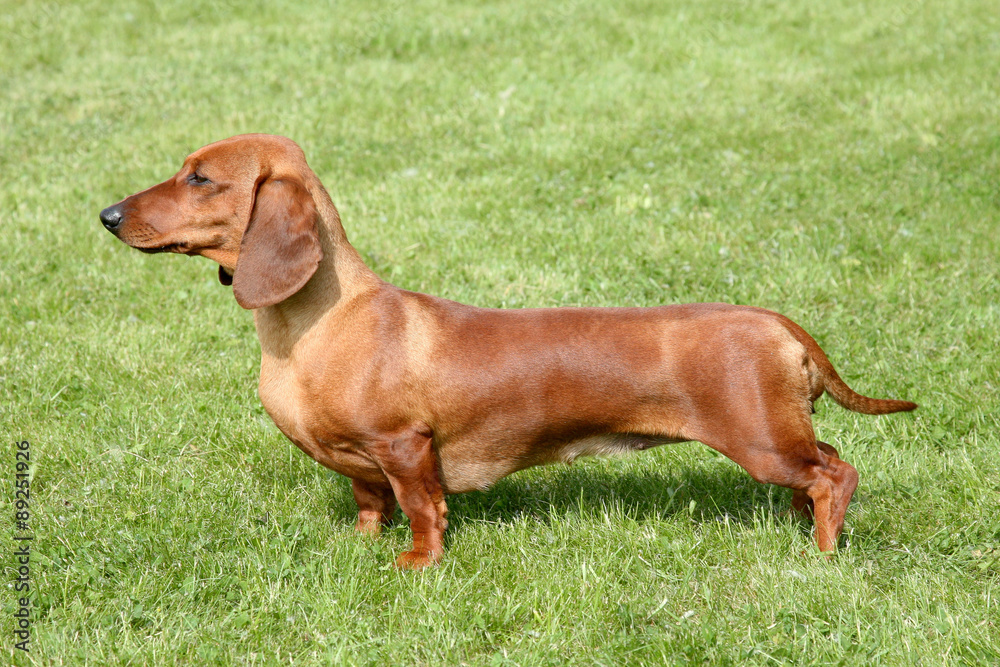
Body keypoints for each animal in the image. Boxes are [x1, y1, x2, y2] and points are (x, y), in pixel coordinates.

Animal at [101, 136, 916, 568]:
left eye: (200, 176)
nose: (106, 214)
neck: (319, 324)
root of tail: (777, 321)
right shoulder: (363, 465)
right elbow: (370, 503)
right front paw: (364, 546)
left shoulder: (405, 447)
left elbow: (422, 509)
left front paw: (415, 564)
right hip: (778, 434)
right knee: (821, 469)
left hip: (759, 438)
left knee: (837, 472)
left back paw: (822, 549)